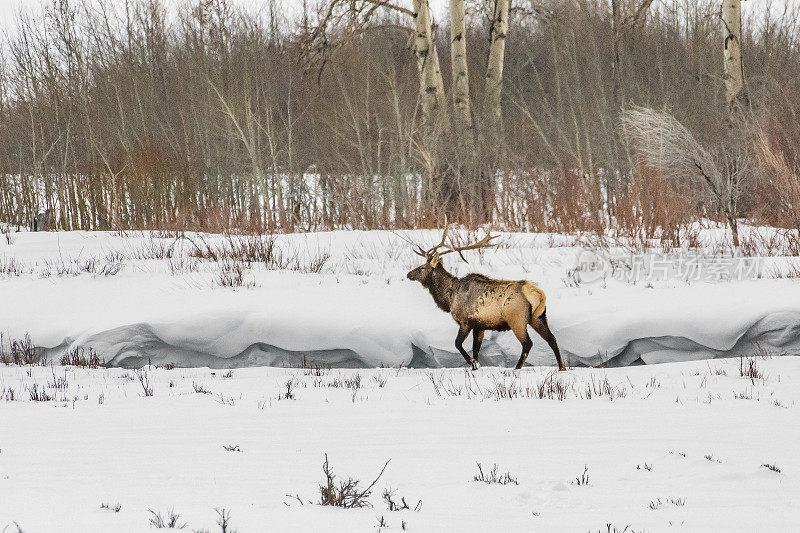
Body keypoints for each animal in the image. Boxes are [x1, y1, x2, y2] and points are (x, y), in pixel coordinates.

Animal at [404, 223, 564, 370]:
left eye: (422, 267)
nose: (409, 274)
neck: (449, 298)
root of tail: (536, 293)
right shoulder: (480, 325)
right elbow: (476, 349)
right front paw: (475, 366)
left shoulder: (465, 321)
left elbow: (458, 344)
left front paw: (473, 363)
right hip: (538, 317)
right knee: (552, 338)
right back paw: (561, 367)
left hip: (517, 318)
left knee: (527, 343)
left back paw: (517, 368)